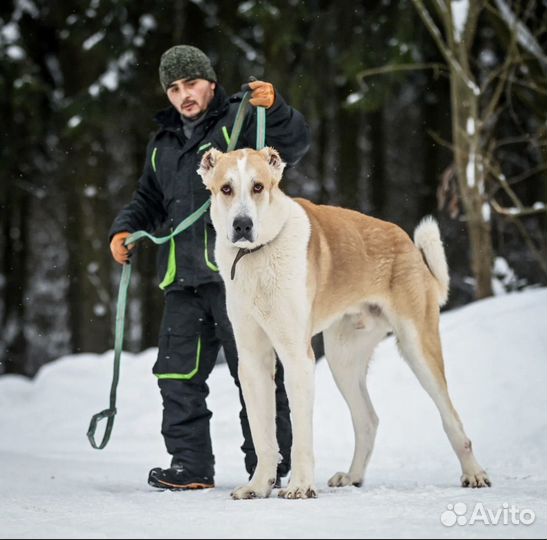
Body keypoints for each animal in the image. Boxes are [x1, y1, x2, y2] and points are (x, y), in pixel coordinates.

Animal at [198, 147, 492, 498]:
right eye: (226, 189)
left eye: (258, 187)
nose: (242, 225)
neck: (258, 254)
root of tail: (407, 243)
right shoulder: (252, 360)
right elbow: (262, 434)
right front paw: (258, 486)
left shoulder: (297, 357)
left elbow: (300, 435)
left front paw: (300, 486)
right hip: (343, 359)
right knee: (368, 419)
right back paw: (352, 476)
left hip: (417, 346)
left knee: (450, 417)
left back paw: (474, 473)